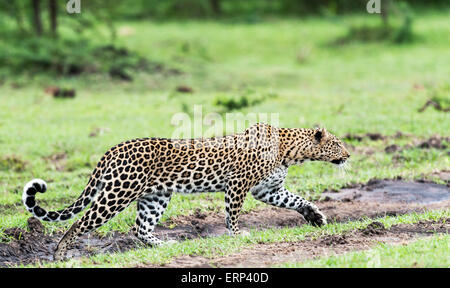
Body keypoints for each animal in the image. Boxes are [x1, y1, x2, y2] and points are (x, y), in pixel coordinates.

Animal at [22, 122, 350, 260]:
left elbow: (296, 200)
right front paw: (236, 236)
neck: (291, 151)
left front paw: (316, 217)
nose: (348, 155)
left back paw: (163, 246)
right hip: (118, 193)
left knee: (140, 228)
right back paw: (60, 253)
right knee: (80, 222)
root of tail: (113, 149)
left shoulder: (268, 190)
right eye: (337, 143)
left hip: (155, 197)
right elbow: (233, 215)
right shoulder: (238, 185)